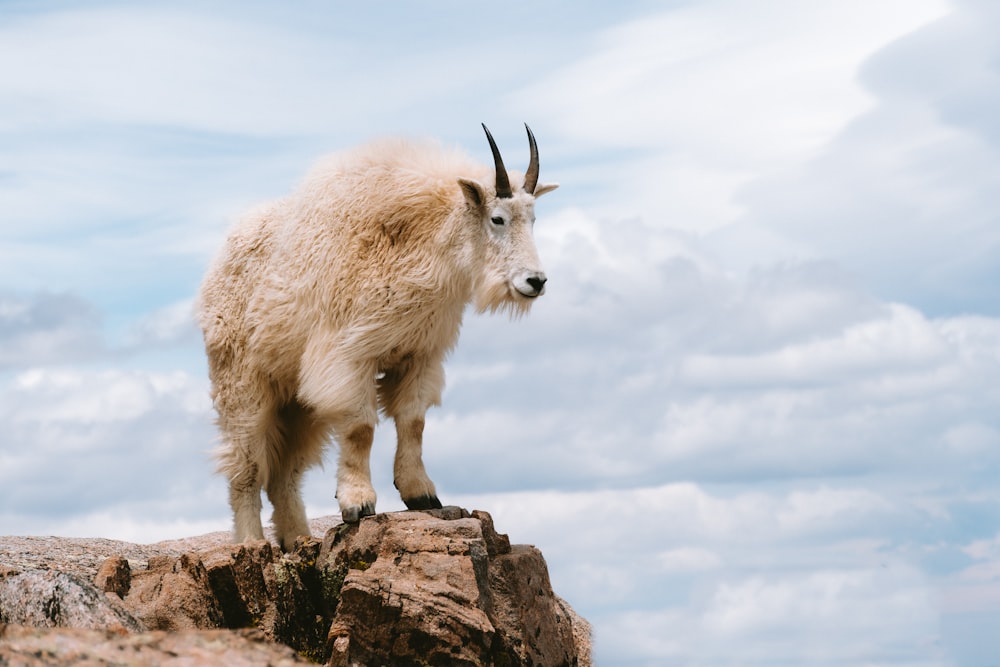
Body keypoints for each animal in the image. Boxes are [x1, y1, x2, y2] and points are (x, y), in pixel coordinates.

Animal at [199, 124, 560, 548]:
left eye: (533, 219)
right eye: (498, 219)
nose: (535, 282)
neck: (419, 243)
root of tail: (217, 265)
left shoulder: (419, 354)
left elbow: (413, 422)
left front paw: (421, 494)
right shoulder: (348, 356)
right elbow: (361, 429)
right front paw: (358, 504)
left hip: (297, 402)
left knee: (285, 475)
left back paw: (301, 541)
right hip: (243, 385)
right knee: (247, 468)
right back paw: (253, 543)